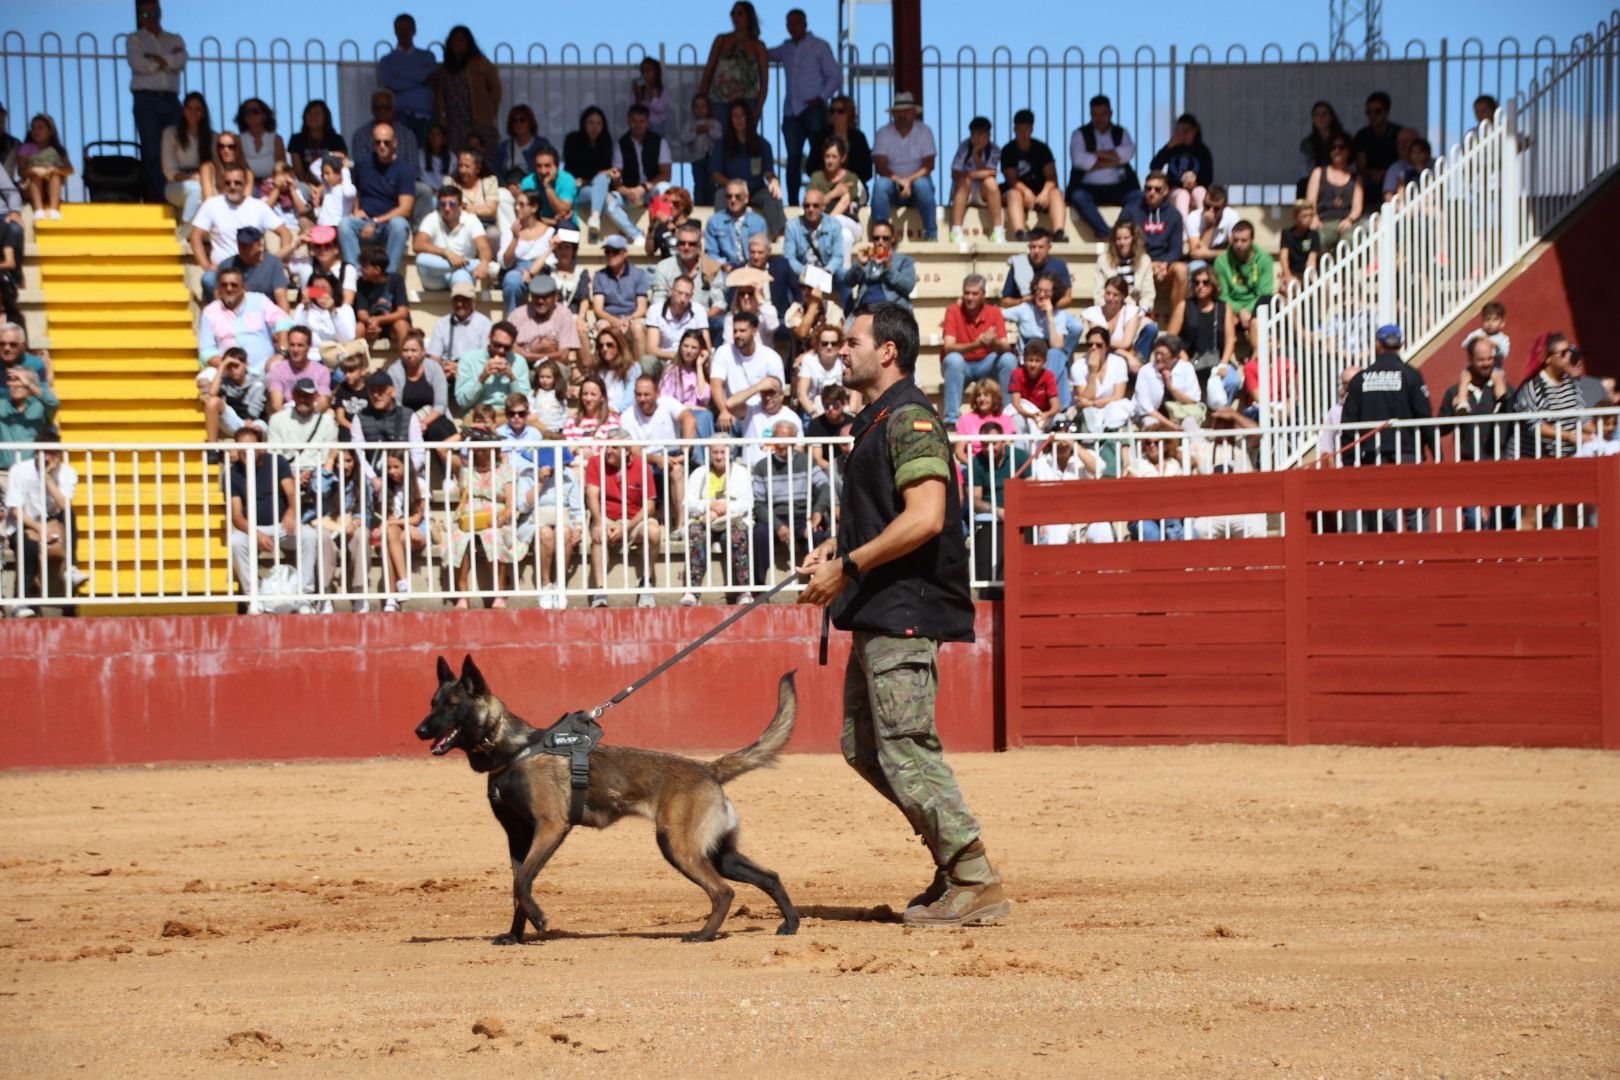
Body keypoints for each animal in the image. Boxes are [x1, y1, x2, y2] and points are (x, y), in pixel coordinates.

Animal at [414, 654, 800, 939]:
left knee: (723, 892)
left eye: (451, 704)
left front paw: (539, 920)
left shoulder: (551, 827)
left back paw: (703, 935)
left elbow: (522, 882)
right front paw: (515, 935)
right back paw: (791, 923)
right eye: (432, 703)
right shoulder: (517, 838)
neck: (513, 749)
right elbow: (516, 887)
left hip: (677, 846)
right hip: (717, 853)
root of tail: (708, 768)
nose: (419, 729)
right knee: (769, 876)